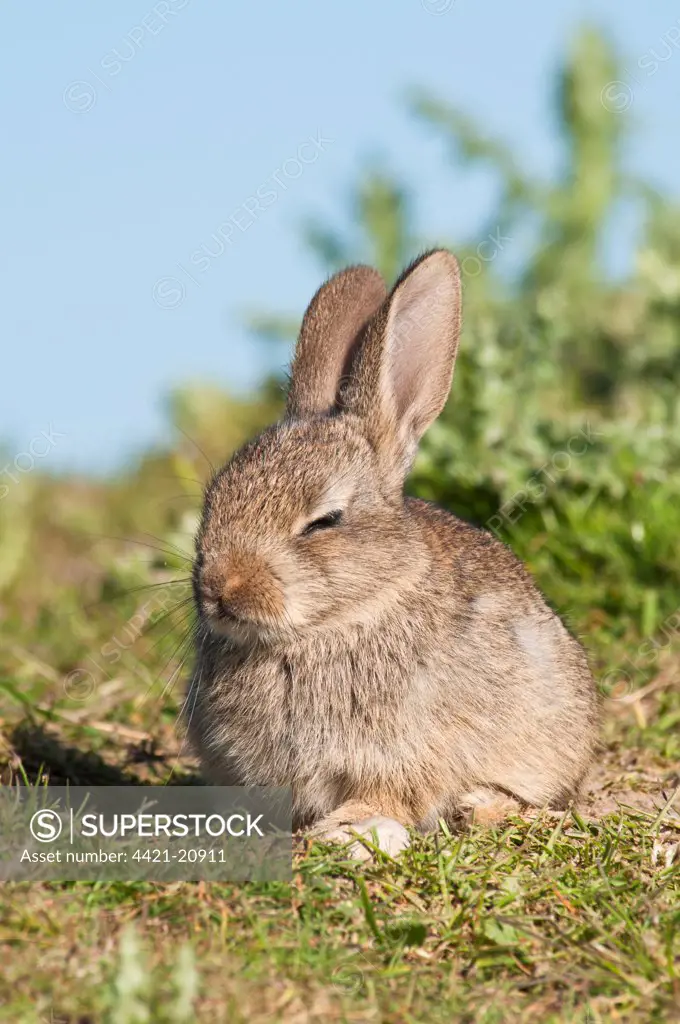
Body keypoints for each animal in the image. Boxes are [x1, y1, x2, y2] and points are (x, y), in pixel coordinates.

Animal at [188, 249, 598, 856]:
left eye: (324, 521)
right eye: (214, 498)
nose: (219, 587)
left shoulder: (406, 755)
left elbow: (391, 796)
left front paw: (351, 833)